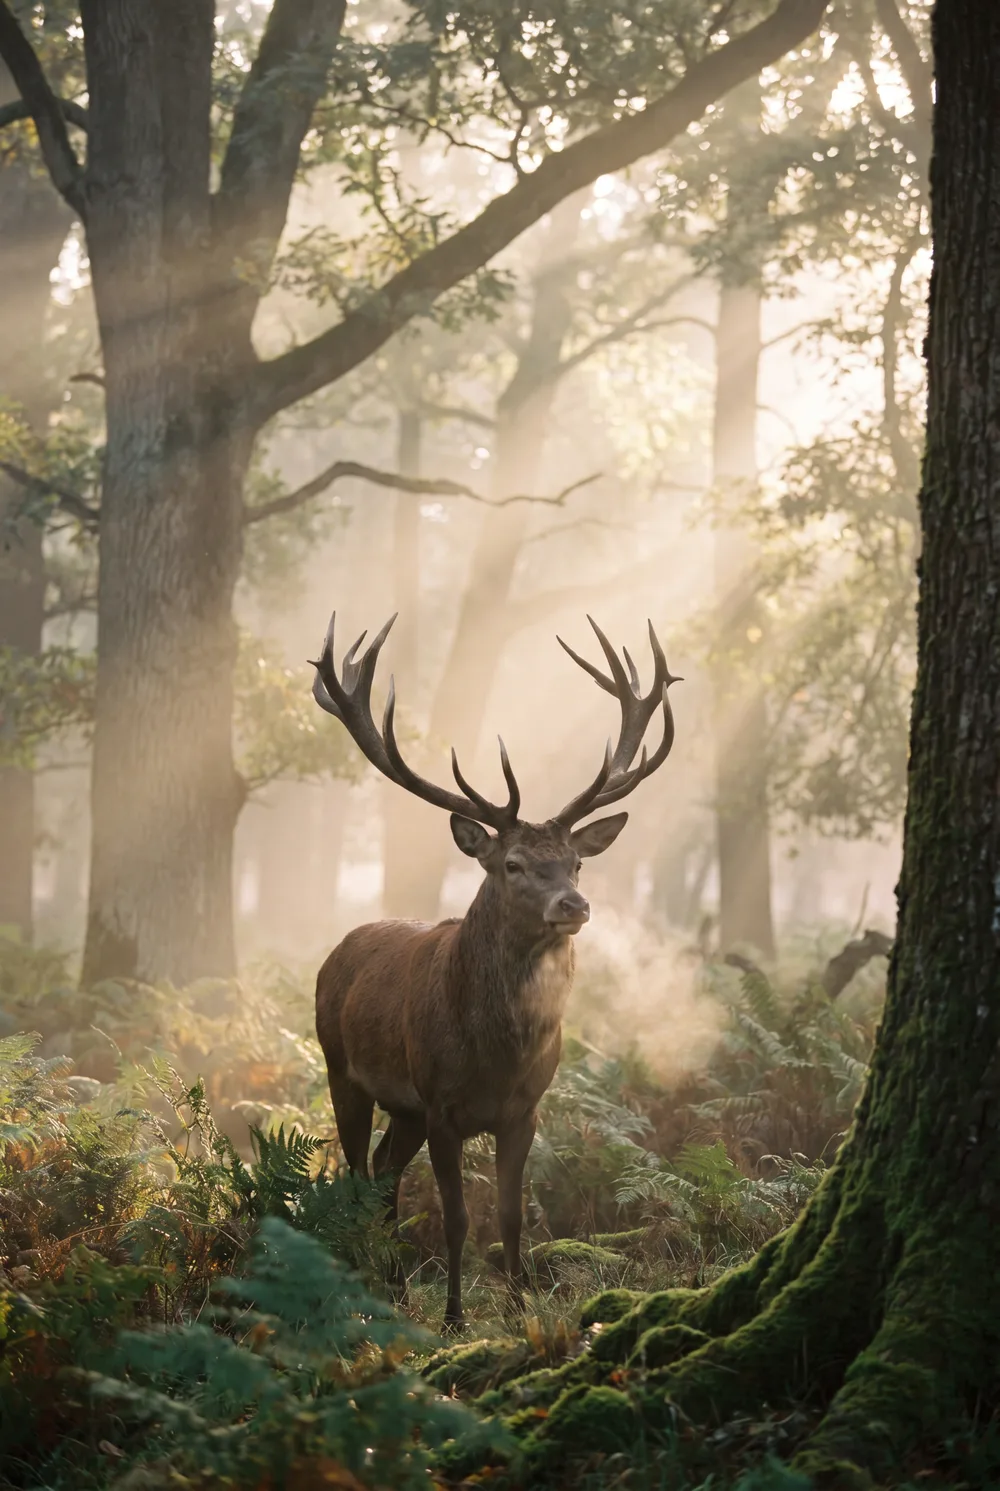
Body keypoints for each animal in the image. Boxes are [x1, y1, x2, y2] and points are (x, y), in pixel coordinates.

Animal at [311, 611, 680, 1328]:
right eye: (512, 864)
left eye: (576, 862)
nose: (574, 905)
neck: (494, 1055)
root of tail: (338, 948)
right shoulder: (442, 1105)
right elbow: (456, 1217)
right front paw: (456, 1318)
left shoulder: (524, 1110)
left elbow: (510, 1216)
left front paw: (516, 1309)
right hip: (345, 1071)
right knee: (354, 1172)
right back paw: (366, 1285)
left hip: (404, 1109)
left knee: (383, 1172)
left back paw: (396, 1288)